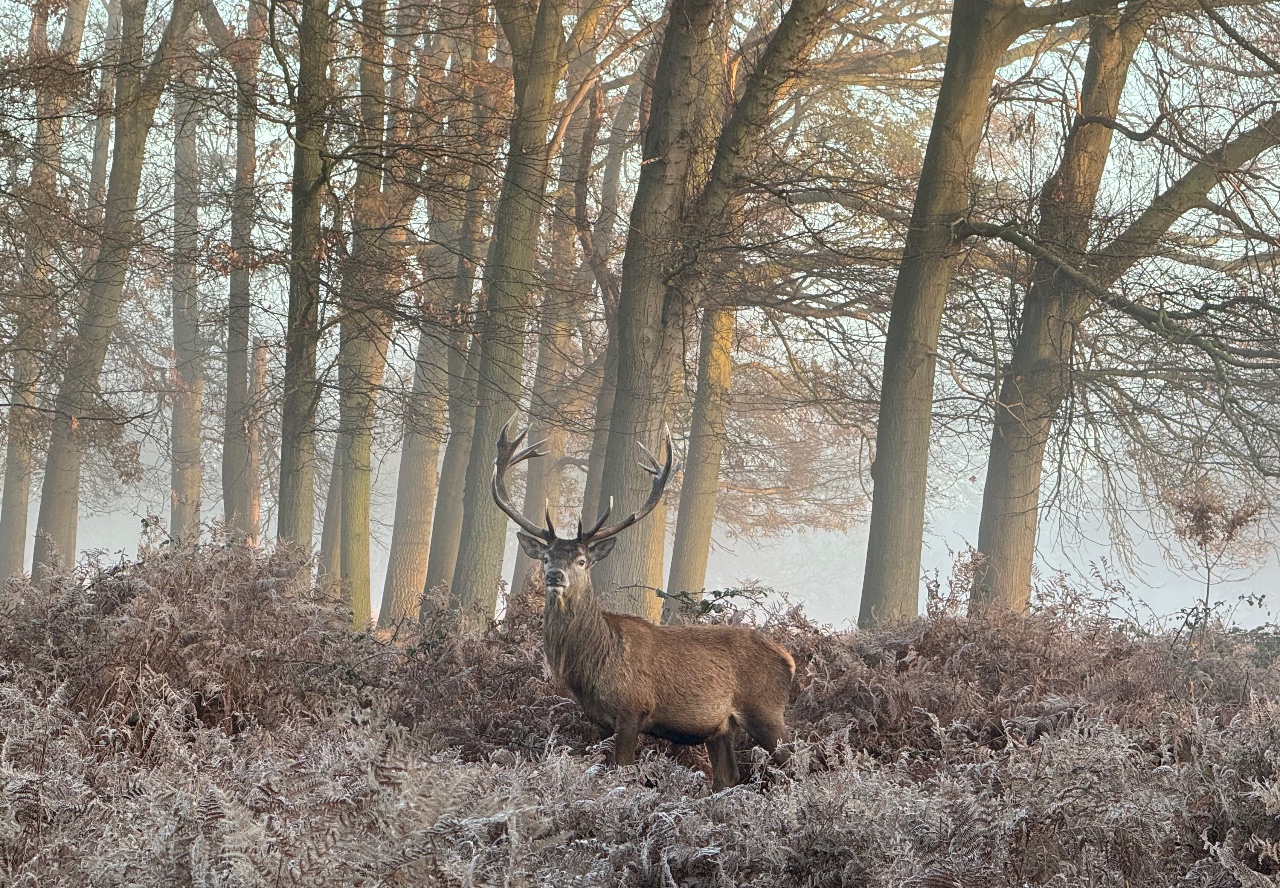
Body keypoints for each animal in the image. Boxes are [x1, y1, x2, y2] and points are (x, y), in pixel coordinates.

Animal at [491, 419, 795, 791]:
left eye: (581, 560)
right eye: (546, 557)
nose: (554, 575)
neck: (594, 661)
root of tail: (789, 659)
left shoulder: (631, 709)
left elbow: (623, 771)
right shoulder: (600, 721)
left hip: (765, 710)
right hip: (721, 727)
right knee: (728, 777)